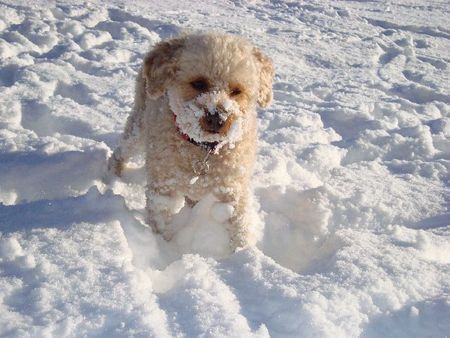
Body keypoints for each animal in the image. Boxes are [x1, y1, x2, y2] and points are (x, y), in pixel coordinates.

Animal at [108, 33, 274, 251]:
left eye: (236, 90)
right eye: (199, 83)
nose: (217, 119)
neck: (202, 149)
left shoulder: (232, 189)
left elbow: (240, 225)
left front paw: (243, 253)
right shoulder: (163, 190)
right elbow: (161, 223)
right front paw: (164, 250)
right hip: (140, 124)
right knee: (122, 149)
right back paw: (113, 175)